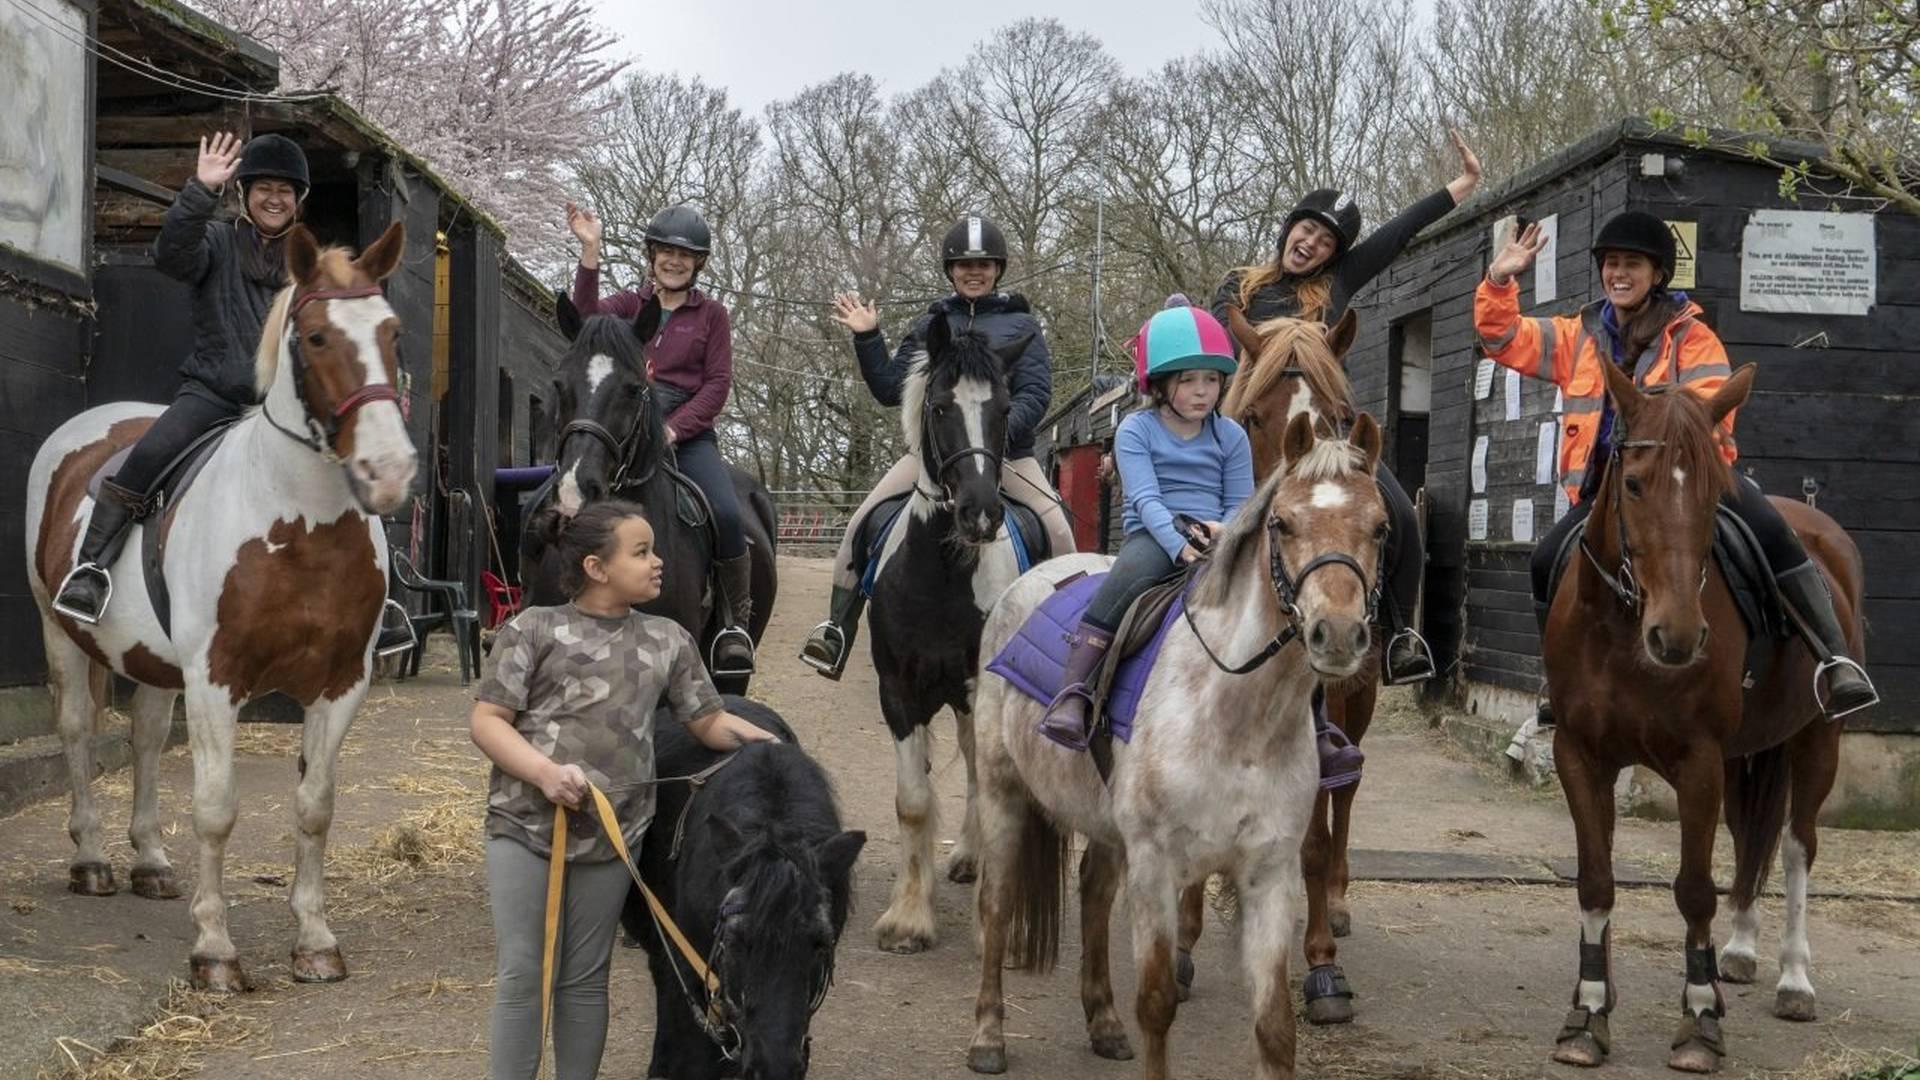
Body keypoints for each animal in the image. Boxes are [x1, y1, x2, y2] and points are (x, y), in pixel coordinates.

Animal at [23, 222, 416, 991]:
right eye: (317, 337)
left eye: (392, 331)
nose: (389, 471)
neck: (299, 524)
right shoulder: (217, 680)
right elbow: (215, 810)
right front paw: (214, 950)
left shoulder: (340, 684)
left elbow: (315, 808)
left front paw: (315, 941)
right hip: (58, 632)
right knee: (79, 730)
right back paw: (92, 860)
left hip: (150, 660)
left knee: (146, 737)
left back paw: (149, 861)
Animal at [967, 407, 1390, 1068]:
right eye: (1283, 524)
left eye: (1379, 528)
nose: (1339, 634)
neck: (1238, 718)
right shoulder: (1157, 866)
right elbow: (1158, 1004)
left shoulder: (1268, 873)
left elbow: (1275, 1026)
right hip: (1002, 795)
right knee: (997, 904)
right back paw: (988, 1037)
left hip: (1103, 824)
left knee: (1092, 893)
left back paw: (1104, 1024)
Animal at [1543, 355, 1843, 1068]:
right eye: (1633, 484)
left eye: (1715, 493)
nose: (1677, 636)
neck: (1622, 631)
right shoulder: (1579, 754)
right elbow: (1596, 881)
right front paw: (1589, 1012)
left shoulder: (1698, 763)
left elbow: (1694, 889)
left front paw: (1702, 1020)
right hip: (1746, 757)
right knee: (1749, 838)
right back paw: (1739, 952)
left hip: (1817, 740)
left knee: (1796, 848)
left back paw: (1794, 980)